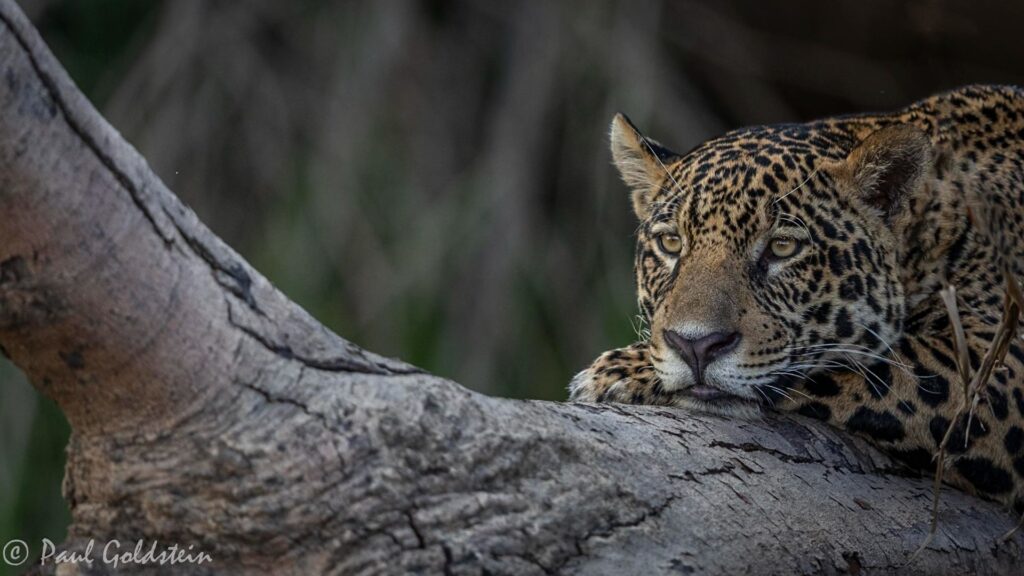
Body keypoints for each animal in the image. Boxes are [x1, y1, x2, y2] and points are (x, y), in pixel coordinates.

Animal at [569, 85, 1024, 511]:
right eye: (671, 243)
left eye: (782, 248)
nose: (695, 347)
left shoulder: (1003, 366)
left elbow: (864, 369)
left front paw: (620, 372)